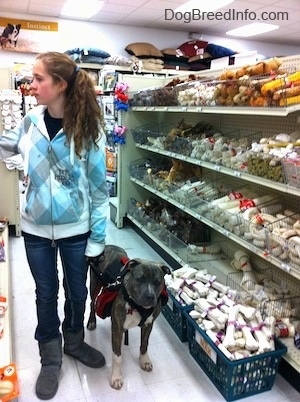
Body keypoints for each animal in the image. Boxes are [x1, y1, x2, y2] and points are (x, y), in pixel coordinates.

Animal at [88, 245, 170, 390]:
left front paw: (144, 361)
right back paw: (91, 321)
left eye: (158, 282)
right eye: (140, 279)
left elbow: (144, 344)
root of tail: (107, 246)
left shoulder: (148, 325)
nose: (150, 296)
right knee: (92, 302)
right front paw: (116, 377)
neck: (137, 306)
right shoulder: (117, 328)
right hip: (94, 284)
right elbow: (117, 357)